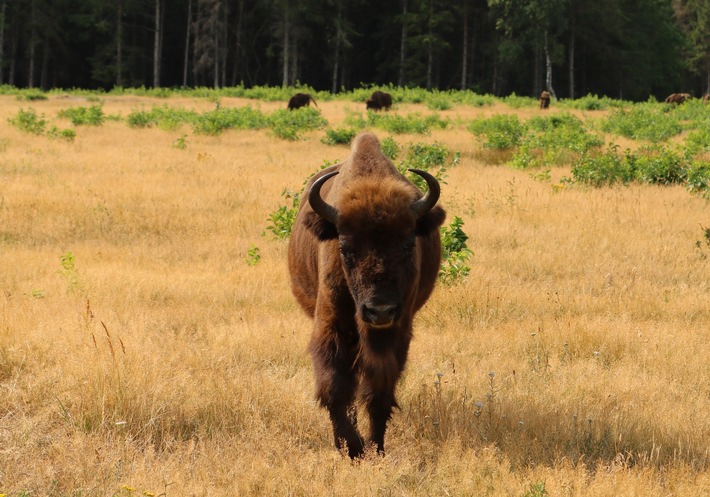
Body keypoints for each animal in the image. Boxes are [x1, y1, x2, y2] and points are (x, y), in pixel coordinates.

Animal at [288, 132, 444, 458]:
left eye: (408, 244)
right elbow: (335, 384)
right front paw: (351, 447)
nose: (380, 310)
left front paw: (375, 447)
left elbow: (379, 388)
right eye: (345, 248)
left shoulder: (395, 331)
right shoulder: (331, 323)